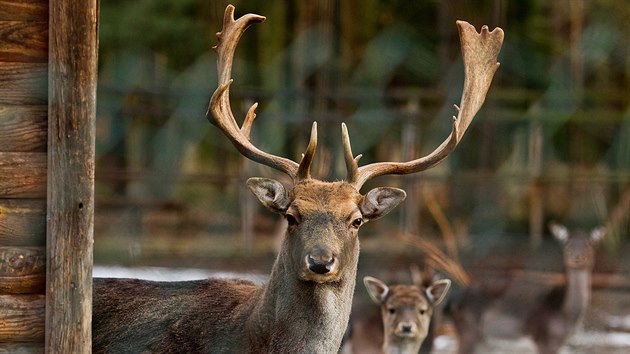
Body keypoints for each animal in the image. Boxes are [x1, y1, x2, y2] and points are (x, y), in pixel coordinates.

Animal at [454, 224, 608, 354]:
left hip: (483, 340)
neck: (565, 315)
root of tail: (453, 304)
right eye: (566, 244)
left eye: (590, 244)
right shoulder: (545, 342)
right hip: (469, 332)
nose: (576, 257)